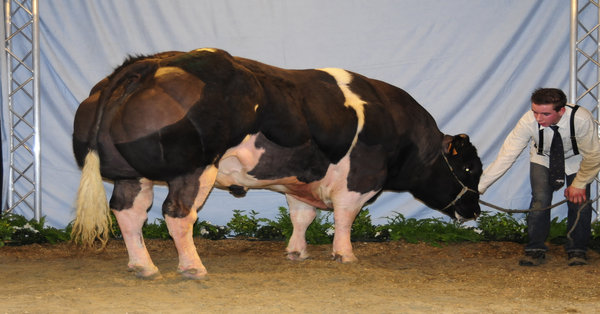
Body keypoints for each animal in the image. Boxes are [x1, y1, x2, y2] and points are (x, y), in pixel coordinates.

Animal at [71, 48, 482, 280]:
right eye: (469, 169)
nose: (475, 210)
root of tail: (147, 64)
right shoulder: (360, 179)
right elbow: (345, 218)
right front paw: (345, 255)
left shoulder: (299, 178)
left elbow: (302, 216)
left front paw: (296, 252)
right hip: (195, 168)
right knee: (177, 214)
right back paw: (192, 268)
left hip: (131, 174)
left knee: (128, 212)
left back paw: (143, 266)